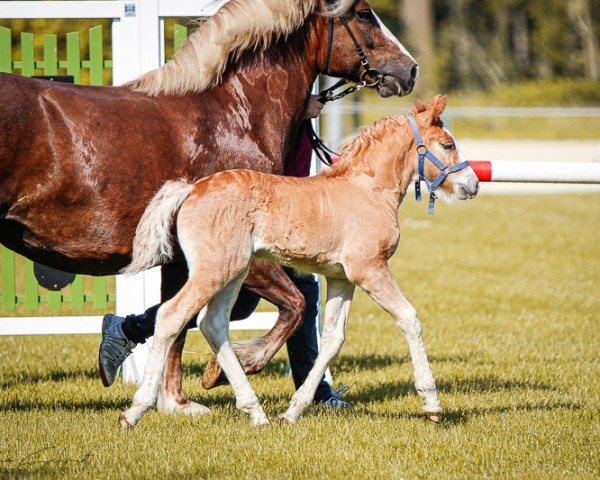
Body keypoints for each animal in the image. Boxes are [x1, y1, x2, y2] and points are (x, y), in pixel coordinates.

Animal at [120, 95, 478, 426]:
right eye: (447, 144)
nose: (471, 185)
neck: (368, 189)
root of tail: (191, 189)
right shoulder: (370, 270)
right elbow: (409, 318)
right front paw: (432, 404)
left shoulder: (340, 278)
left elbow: (332, 340)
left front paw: (293, 411)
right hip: (213, 271)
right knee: (171, 316)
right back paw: (135, 411)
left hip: (234, 272)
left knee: (213, 324)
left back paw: (256, 413)